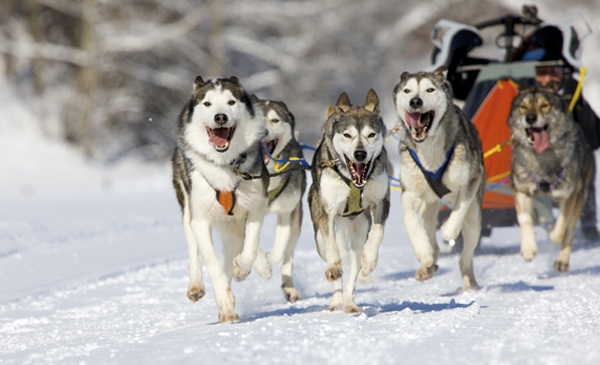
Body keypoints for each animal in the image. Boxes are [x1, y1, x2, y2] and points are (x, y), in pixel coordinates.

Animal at [171, 76, 270, 322]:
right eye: (207, 103)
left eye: (231, 102)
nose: (220, 117)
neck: (224, 165)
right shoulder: (200, 220)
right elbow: (212, 262)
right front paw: (224, 299)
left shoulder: (256, 208)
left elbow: (250, 247)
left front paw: (242, 268)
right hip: (188, 211)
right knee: (194, 251)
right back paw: (197, 287)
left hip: (233, 225)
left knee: (237, 248)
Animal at [310, 89, 390, 312]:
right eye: (347, 135)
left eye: (371, 134)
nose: (360, 154)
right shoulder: (327, 212)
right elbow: (332, 247)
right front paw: (333, 268)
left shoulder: (381, 202)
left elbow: (378, 233)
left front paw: (370, 260)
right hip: (320, 237)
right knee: (332, 254)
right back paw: (337, 300)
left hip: (359, 232)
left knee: (354, 268)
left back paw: (349, 302)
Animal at [392, 67, 486, 292]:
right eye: (407, 90)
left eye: (429, 89)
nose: (415, 101)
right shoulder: (410, 192)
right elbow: (409, 220)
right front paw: (423, 251)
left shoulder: (471, 180)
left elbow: (456, 216)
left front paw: (447, 231)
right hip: (429, 207)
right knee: (431, 237)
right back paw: (427, 267)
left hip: (474, 218)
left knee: (465, 257)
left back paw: (470, 284)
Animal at [508, 84, 592, 272]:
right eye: (523, 107)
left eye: (544, 105)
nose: (530, 117)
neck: (542, 157)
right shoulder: (521, 189)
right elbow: (524, 219)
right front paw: (528, 247)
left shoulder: (569, 194)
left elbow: (561, 228)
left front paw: (553, 235)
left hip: (580, 196)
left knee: (569, 229)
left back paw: (562, 260)